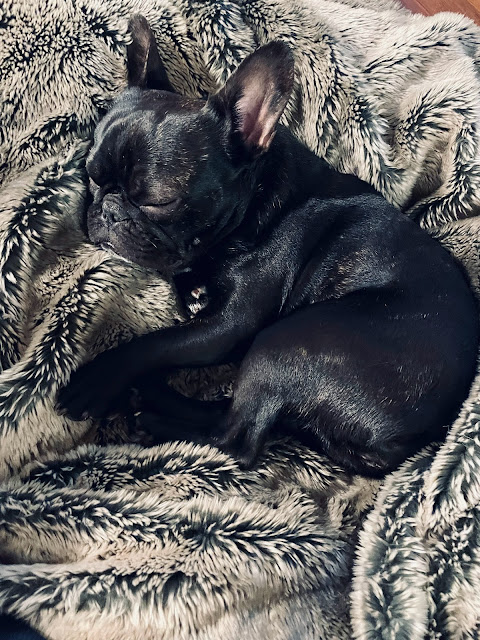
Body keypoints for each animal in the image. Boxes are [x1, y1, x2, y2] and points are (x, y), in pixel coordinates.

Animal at [57, 15, 479, 476]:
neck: (254, 201)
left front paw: (95, 380)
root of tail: (403, 444)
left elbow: (153, 344)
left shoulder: (226, 328)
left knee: (236, 439)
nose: (108, 212)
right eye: (92, 175)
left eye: (159, 201)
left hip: (286, 343)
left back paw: (153, 415)